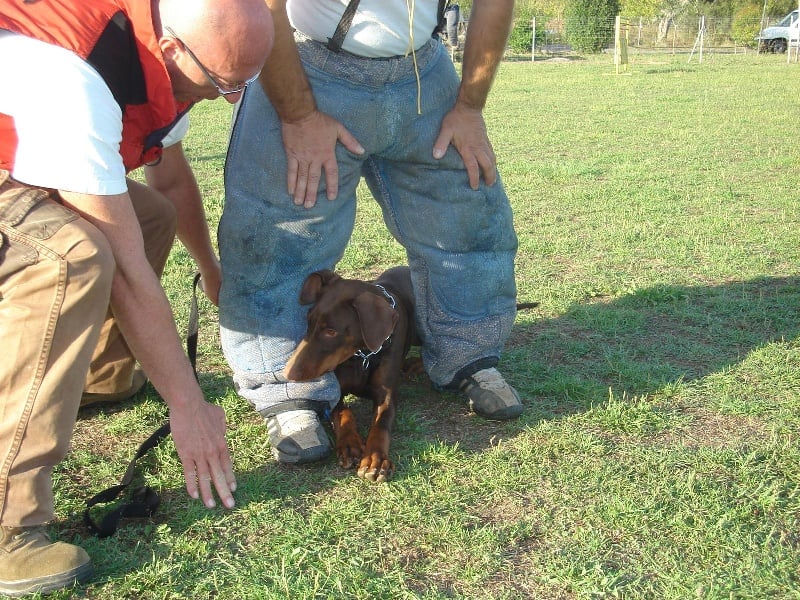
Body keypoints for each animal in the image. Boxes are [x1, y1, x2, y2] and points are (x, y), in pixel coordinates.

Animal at [282, 268, 418, 482]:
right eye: (308, 321)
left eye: (331, 331)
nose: (287, 373)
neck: (362, 356)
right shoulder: (334, 391)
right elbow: (343, 412)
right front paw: (349, 444)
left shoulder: (386, 393)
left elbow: (381, 424)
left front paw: (375, 459)